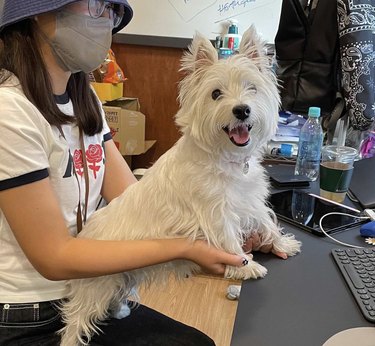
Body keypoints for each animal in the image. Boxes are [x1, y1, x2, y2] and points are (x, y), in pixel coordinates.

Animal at [59, 25, 302, 344]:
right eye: (215, 94)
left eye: (252, 88)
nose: (242, 110)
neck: (225, 157)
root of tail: (83, 236)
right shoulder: (215, 211)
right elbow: (229, 240)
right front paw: (246, 266)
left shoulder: (249, 201)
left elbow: (266, 222)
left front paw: (283, 243)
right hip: (96, 285)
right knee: (76, 319)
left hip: (122, 276)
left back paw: (120, 310)